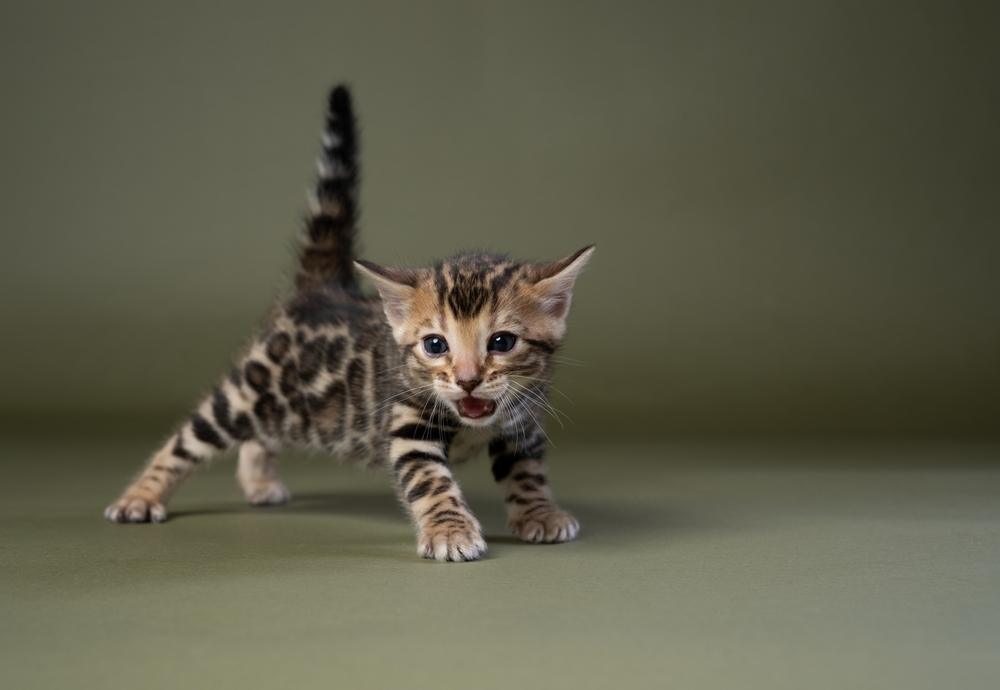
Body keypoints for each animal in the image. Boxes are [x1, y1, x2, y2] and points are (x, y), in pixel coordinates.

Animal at [107, 84, 592, 560]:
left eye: (502, 342)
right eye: (436, 345)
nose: (469, 380)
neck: (473, 422)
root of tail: (319, 288)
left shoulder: (522, 425)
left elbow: (527, 472)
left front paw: (540, 514)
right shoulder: (408, 423)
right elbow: (431, 482)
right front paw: (450, 531)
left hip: (287, 408)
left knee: (260, 435)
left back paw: (258, 481)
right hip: (248, 391)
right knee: (185, 440)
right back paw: (140, 496)